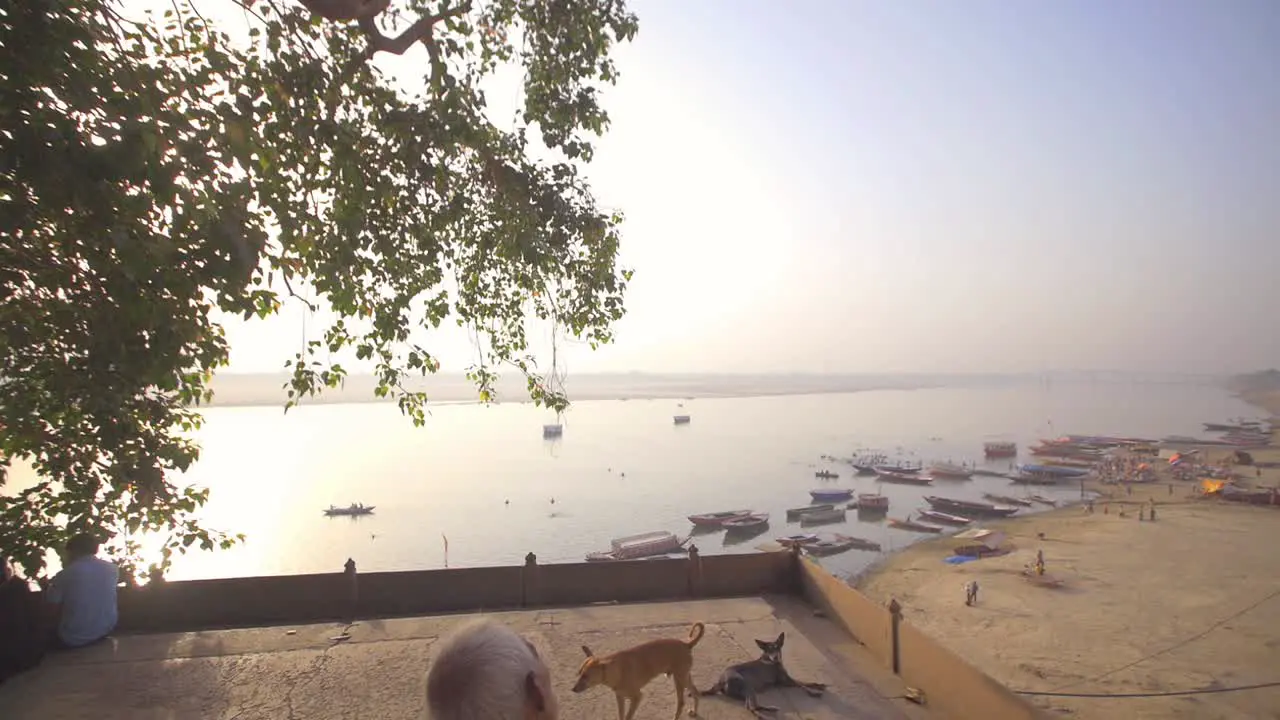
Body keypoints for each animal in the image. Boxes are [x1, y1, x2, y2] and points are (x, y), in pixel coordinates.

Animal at [573, 617, 706, 717]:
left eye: (586, 676)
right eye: (579, 673)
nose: (573, 689)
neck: (617, 669)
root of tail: (687, 644)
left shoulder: (637, 697)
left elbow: (628, 716)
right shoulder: (620, 697)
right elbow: (621, 715)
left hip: (679, 679)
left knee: (681, 702)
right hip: (684, 677)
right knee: (695, 692)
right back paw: (694, 711)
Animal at [701, 627, 829, 712]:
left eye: (777, 648)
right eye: (769, 650)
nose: (775, 657)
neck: (770, 660)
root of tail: (720, 681)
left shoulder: (788, 678)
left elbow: (805, 682)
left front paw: (818, 685)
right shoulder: (785, 681)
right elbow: (801, 685)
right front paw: (814, 692)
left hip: (746, 692)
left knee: (749, 706)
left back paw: (769, 709)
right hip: (747, 686)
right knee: (752, 707)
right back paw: (770, 709)